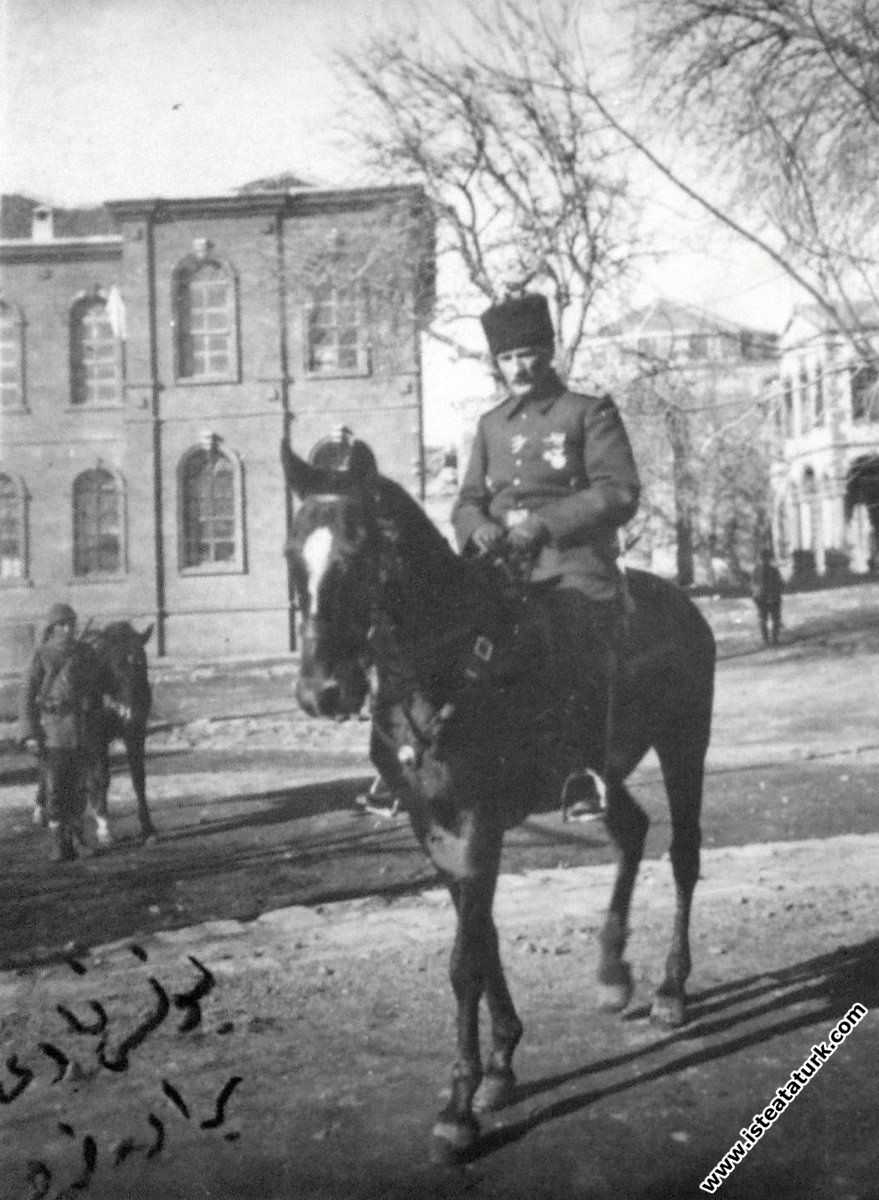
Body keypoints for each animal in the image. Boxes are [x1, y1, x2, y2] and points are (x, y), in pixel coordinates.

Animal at [33, 624, 156, 849]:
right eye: (113, 666)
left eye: (142, 663)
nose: (128, 711)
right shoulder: (95, 737)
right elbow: (101, 779)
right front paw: (104, 828)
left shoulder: (135, 732)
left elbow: (138, 778)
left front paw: (148, 829)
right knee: (47, 765)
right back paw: (42, 809)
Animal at [280, 441, 715, 1161]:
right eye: (292, 550)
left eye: (358, 550)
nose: (322, 693)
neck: (443, 667)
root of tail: (682, 602)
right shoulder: (435, 829)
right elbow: (480, 940)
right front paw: (501, 1066)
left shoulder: (479, 824)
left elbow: (465, 962)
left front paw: (459, 1106)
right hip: (602, 767)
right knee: (630, 829)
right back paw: (610, 971)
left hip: (685, 744)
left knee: (682, 855)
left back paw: (669, 989)